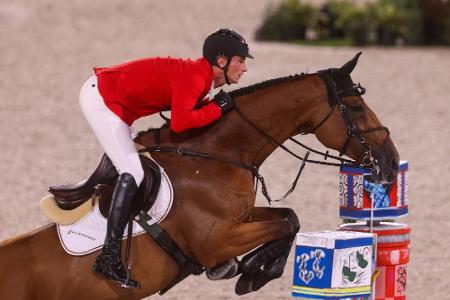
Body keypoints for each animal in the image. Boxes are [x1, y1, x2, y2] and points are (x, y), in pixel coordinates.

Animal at [0, 52, 398, 298]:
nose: (392, 163)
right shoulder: (216, 240)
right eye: (356, 108)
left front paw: (254, 270)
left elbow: (289, 218)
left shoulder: (241, 219)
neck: (217, 155)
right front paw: (250, 269)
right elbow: (284, 223)